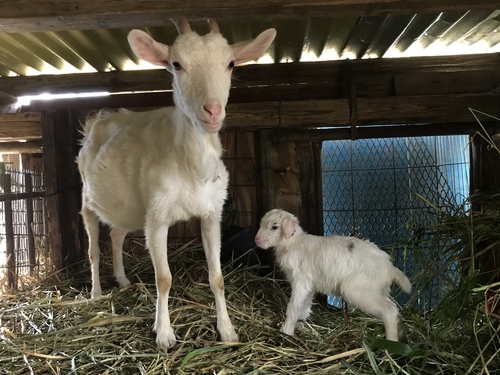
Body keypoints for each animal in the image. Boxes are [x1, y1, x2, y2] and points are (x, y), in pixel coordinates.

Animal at [77, 16, 278, 352]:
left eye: (231, 64)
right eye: (176, 64)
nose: (212, 110)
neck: (190, 166)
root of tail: (97, 120)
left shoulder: (212, 214)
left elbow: (217, 277)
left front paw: (228, 331)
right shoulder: (157, 217)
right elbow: (164, 278)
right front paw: (164, 335)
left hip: (129, 208)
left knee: (117, 234)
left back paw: (123, 281)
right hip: (88, 199)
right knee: (93, 246)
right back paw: (96, 293)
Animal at [256, 210, 412, 342]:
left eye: (274, 227)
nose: (256, 240)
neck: (293, 243)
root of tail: (389, 267)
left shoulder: (301, 281)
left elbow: (293, 307)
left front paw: (286, 331)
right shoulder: (310, 285)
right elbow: (304, 306)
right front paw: (300, 324)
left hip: (358, 290)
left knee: (390, 310)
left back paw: (391, 343)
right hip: (379, 290)